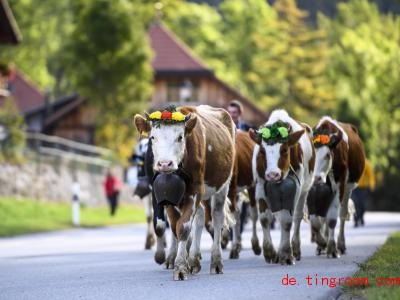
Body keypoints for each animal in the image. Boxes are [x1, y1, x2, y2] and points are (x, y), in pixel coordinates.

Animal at [134, 105, 234, 282]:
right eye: (153, 137)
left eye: (180, 137)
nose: (164, 164)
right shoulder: (162, 193)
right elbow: (168, 226)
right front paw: (170, 258)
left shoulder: (195, 190)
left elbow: (183, 227)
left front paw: (180, 267)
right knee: (200, 216)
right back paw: (193, 260)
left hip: (222, 186)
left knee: (217, 218)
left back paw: (216, 262)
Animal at [250, 109, 316, 264]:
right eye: (262, 151)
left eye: (285, 150)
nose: (273, 174)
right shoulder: (260, 187)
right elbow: (265, 219)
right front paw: (269, 252)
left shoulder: (295, 188)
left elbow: (287, 221)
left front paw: (286, 253)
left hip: (305, 189)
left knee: (297, 217)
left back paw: (295, 249)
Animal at [310, 117, 366, 258]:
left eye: (327, 155)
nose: (316, 178)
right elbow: (315, 219)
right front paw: (321, 242)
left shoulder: (341, 184)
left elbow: (332, 218)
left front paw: (332, 248)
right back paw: (322, 246)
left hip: (348, 189)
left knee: (342, 214)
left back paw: (341, 245)